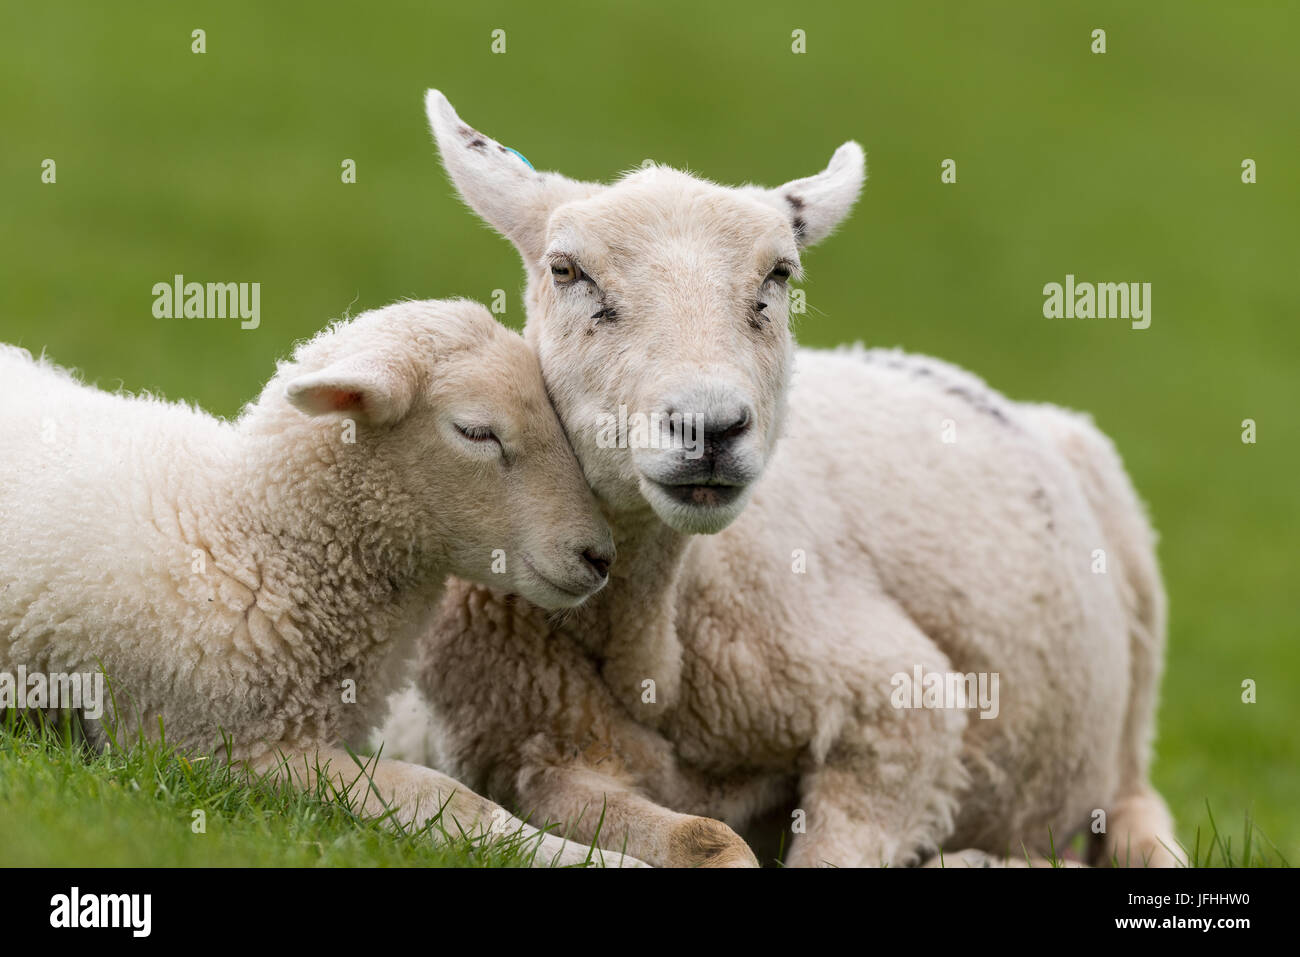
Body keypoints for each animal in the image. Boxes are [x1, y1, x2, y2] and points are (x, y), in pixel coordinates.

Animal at [0, 299, 647, 868]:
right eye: (476, 432)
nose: (599, 556)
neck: (252, 535)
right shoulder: (216, 745)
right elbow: (444, 798)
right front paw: (598, 859)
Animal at [374, 93, 1180, 868]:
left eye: (779, 274)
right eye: (567, 270)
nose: (710, 427)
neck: (654, 643)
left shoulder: (899, 702)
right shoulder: (541, 758)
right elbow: (702, 837)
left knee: (1138, 808)